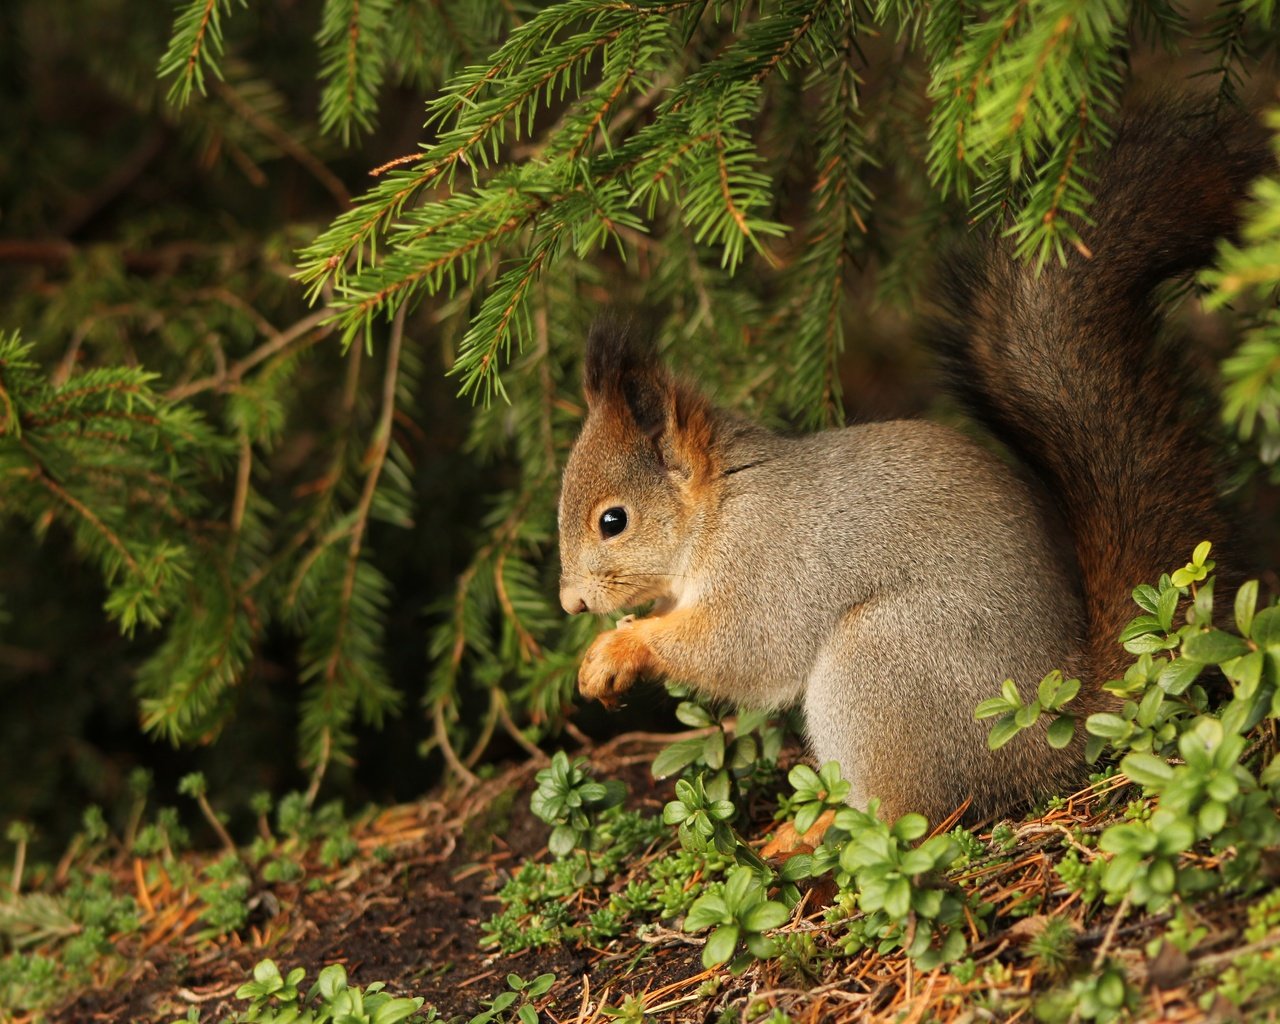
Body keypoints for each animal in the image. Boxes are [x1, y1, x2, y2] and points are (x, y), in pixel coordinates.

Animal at [555, 106, 1274, 824]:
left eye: (613, 520)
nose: (570, 603)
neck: (722, 506)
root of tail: (1047, 723)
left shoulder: (769, 564)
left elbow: (744, 648)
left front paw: (621, 648)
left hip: (883, 663)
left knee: (907, 815)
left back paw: (810, 834)